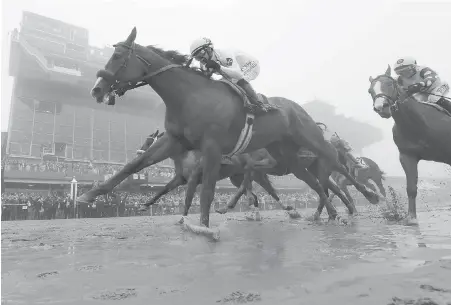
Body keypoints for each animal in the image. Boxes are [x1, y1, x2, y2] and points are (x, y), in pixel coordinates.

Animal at [79, 26, 380, 233]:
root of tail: (296, 107)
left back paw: (366, 196)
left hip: (312, 140)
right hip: (287, 156)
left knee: (336, 167)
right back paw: (329, 213)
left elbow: (207, 191)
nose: (96, 89)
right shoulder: (175, 141)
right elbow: (133, 166)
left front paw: (203, 226)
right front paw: (88, 195)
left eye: (118, 55)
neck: (189, 95)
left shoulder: (211, 147)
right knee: (315, 182)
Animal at [370, 65, 451, 224]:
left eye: (390, 84)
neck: (419, 125)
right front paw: (411, 218)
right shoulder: (407, 156)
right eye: (370, 91)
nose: (381, 107)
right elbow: (411, 188)